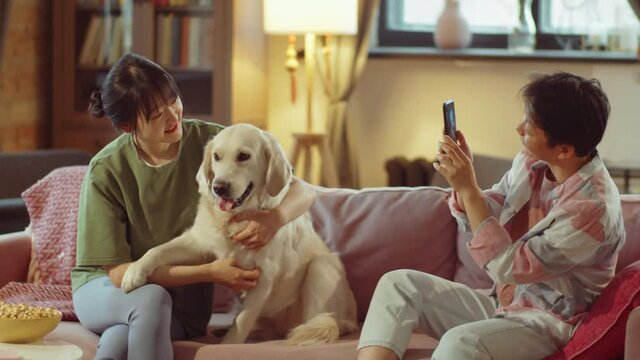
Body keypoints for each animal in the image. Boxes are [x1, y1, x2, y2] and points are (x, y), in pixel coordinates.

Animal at [120, 124, 360, 346]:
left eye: (243, 156)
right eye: (216, 156)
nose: (219, 187)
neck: (237, 218)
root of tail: (351, 320)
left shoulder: (263, 276)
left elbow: (242, 322)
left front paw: (227, 346)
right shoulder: (197, 242)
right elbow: (157, 250)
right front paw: (134, 272)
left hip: (321, 267)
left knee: (317, 319)